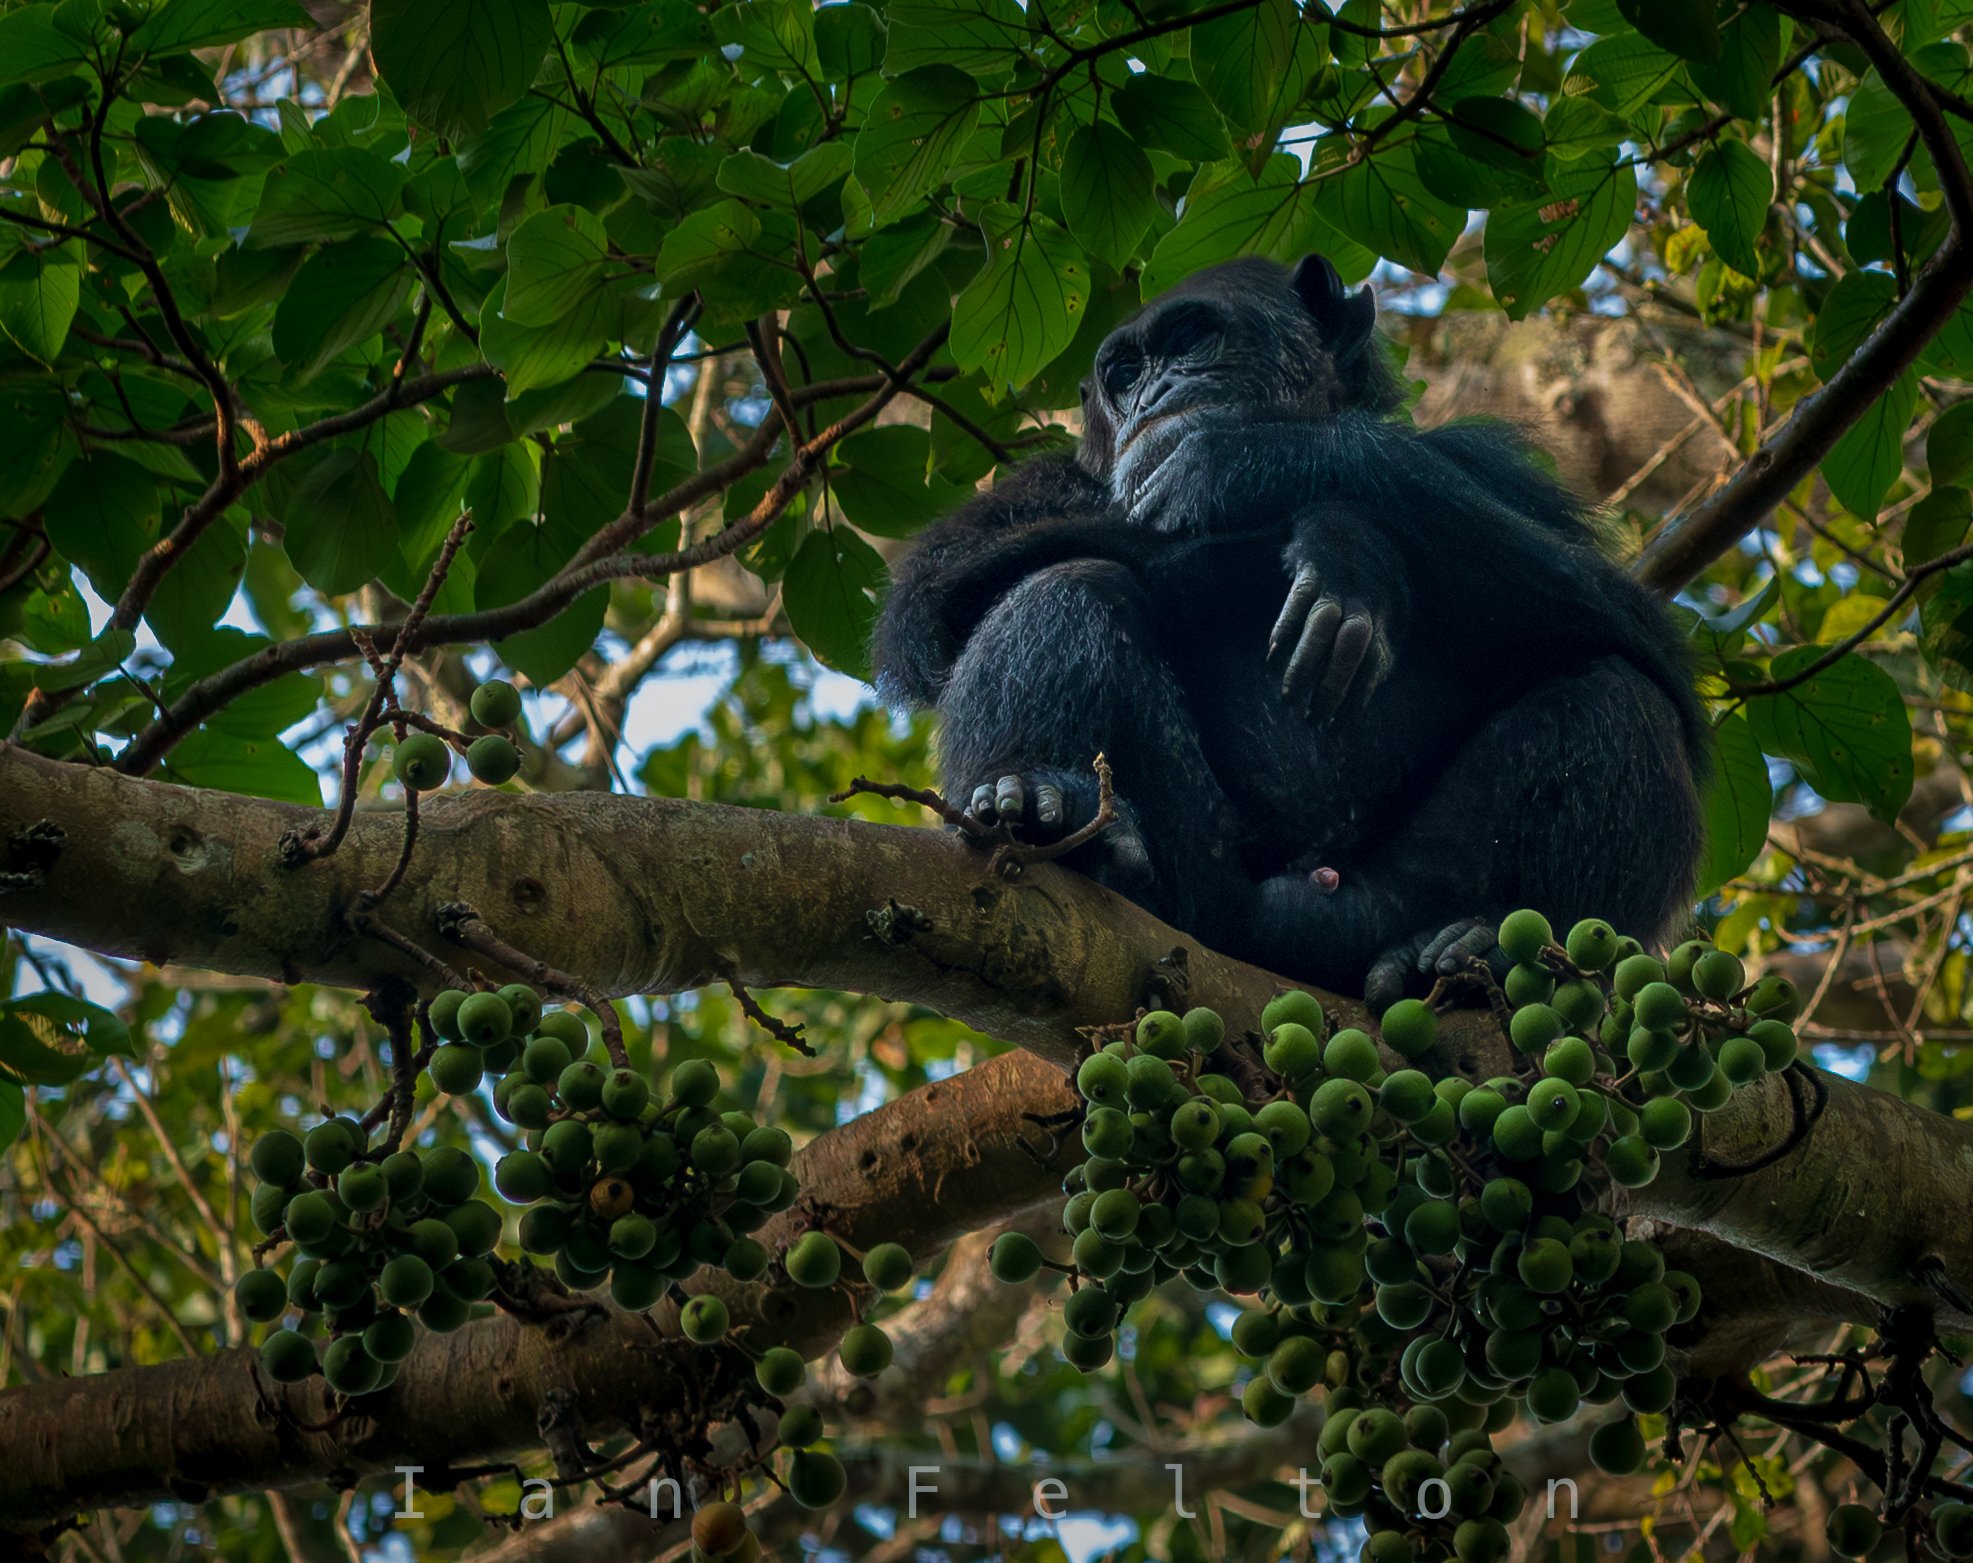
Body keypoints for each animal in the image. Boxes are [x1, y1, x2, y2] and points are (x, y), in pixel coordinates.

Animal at [871, 254, 1706, 1009]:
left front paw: (1273, 478)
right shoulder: (1037, 486)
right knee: (1068, 583)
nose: (1153, 393)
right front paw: (1338, 542)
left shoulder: (1490, 463)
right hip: (1196, 879)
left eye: (1189, 339)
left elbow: (1626, 625)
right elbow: (931, 606)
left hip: (1386, 899)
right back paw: (1043, 800)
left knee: (1622, 697)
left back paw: (1477, 946)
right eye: (1124, 372)